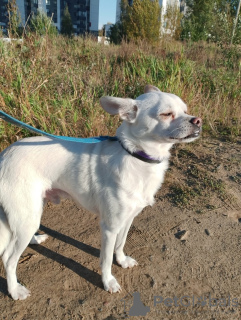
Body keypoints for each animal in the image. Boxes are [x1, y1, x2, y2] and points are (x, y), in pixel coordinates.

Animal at [0, 85, 201, 300]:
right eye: (166, 114)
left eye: (185, 110)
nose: (197, 120)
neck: (136, 156)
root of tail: (4, 155)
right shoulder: (109, 227)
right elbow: (105, 260)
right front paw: (108, 282)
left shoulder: (128, 219)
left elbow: (120, 244)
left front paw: (122, 261)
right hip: (28, 215)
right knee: (9, 258)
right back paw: (14, 290)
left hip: (33, 211)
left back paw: (35, 239)